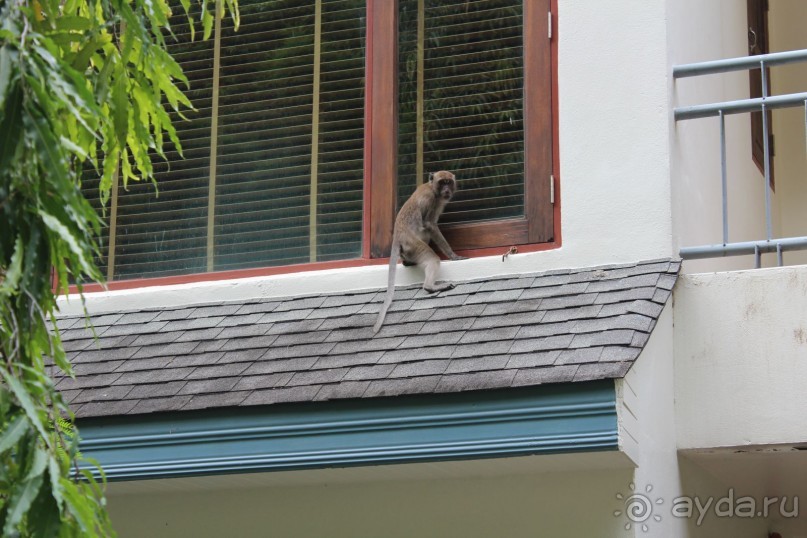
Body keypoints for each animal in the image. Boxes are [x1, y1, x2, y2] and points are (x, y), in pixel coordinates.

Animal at [374, 170, 468, 332]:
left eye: (448, 182)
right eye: (442, 182)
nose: (446, 189)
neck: (432, 188)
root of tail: (397, 238)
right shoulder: (429, 199)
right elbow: (430, 224)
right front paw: (453, 255)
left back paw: (407, 262)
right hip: (413, 245)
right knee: (431, 257)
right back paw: (430, 287)